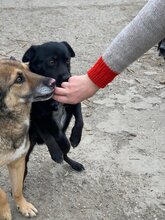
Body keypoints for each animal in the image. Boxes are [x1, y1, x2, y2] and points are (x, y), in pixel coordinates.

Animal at [0, 59, 55, 219]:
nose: (54, 82)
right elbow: (2, 194)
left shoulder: (18, 162)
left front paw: (23, 206)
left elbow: (17, 189)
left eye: (28, 69)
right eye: (19, 79)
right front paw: (5, 213)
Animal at [21, 41, 84, 179]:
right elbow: (50, 136)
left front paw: (75, 138)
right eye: (51, 61)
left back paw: (74, 164)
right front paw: (56, 152)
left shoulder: (74, 99)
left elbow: (80, 121)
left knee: (66, 153)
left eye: (67, 60)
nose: (67, 77)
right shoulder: (37, 119)